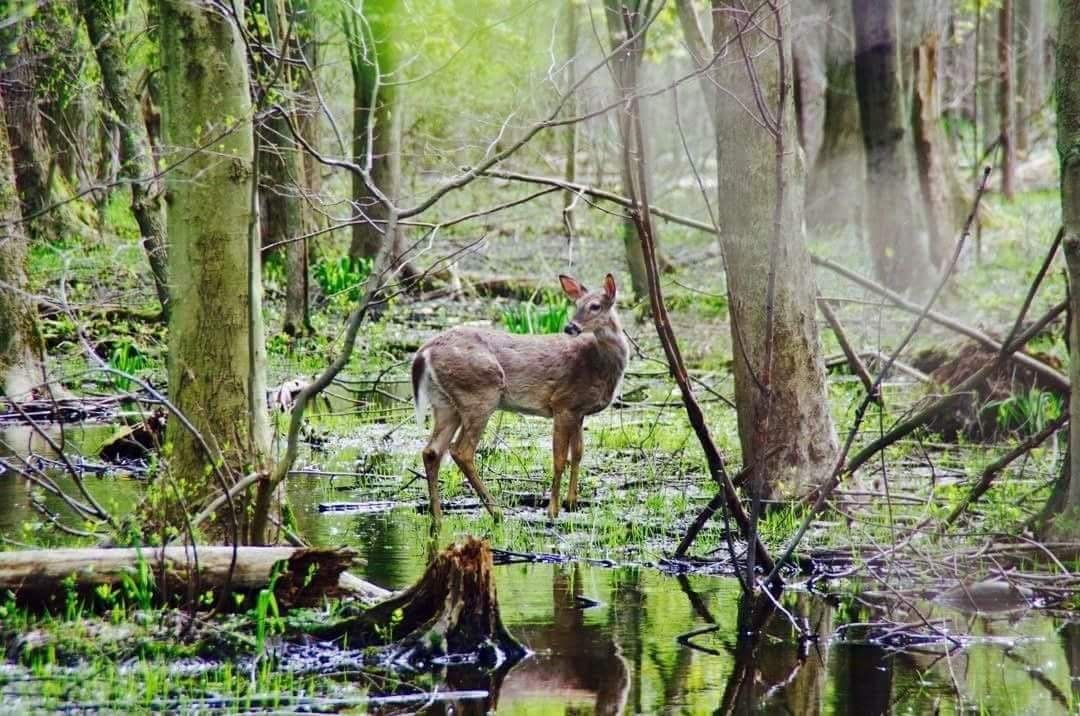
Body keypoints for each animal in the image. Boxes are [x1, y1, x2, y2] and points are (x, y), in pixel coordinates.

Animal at [411, 273, 629, 521]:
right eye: (576, 305)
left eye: (595, 306)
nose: (570, 327)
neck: (599, 365)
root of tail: (424, 352)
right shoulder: (563, 403)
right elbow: (559, 459)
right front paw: (553, 510)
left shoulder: (578, 411)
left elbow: (578, 454)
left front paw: (572, 502)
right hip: (479, 394)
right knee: (461, 450)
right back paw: (496, 512)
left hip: (445, 402)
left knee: (432, 451)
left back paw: (437, 519)